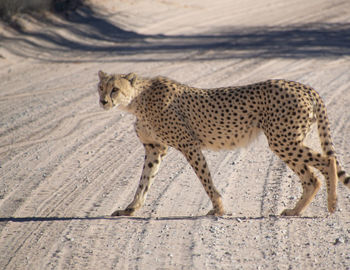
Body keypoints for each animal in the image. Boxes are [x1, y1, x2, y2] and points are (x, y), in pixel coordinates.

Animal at [97, 70, 348, 216]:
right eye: (100, 88)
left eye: (115, 89)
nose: (102, 101)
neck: (137, 100)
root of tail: (303, 86)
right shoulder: (154, 149)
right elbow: (144, 181)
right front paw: (131, 209)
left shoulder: (188, 145)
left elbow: (205, 179)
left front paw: (217, 208)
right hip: (285, 141)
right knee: (312, 177)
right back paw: (296, 211)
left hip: (282, 140)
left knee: (327, 162)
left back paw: (331, 204)